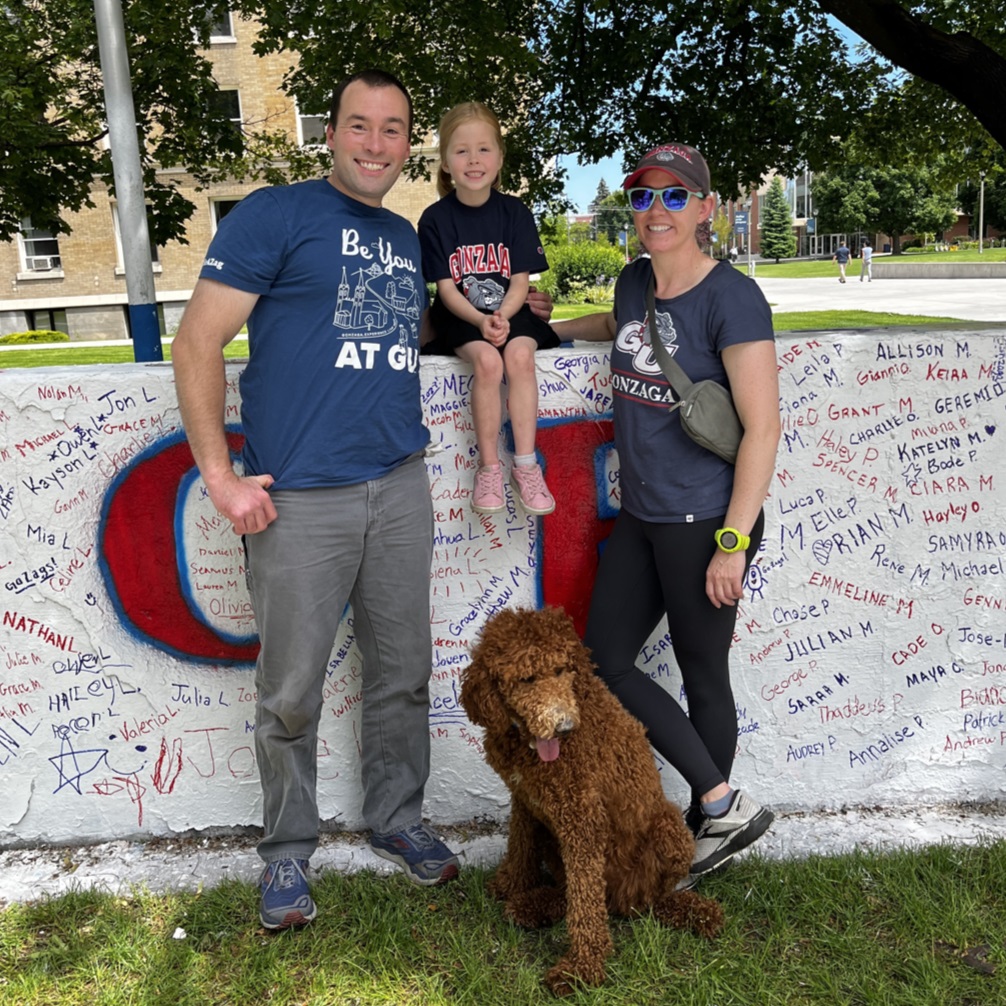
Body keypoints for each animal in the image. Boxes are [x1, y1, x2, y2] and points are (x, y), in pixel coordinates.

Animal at [460, 599, 720, 993]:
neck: (529, 744)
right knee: (581, 892)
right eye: (527, 678)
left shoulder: (582, 818)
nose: (565, 726)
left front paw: (581, 967)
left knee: (630, 902)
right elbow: (519, 847)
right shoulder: (525, 799)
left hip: (668, 830)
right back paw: (536, 903)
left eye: (562, 669)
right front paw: (510, 886)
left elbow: (585, 898)